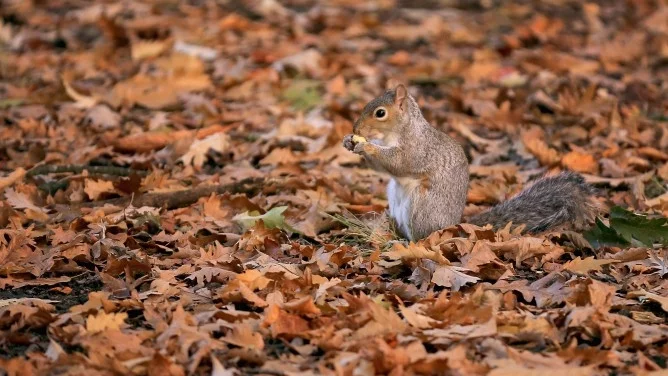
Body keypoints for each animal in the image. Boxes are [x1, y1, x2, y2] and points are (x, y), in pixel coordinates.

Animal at [342, 84, 596, 241]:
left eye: (380, 113)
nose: (356, 129)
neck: (399, 132)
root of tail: (452, 227)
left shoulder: (417, 149)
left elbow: (399, 163)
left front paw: (366, 146)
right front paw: (349, 142)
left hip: (422, 207)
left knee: (422, 236)